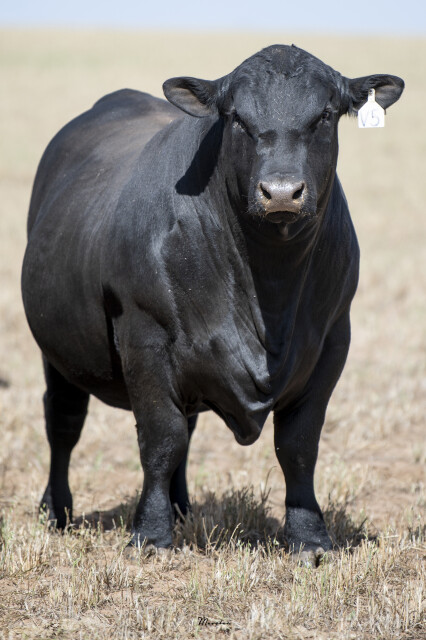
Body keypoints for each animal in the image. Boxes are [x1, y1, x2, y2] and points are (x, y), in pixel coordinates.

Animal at [21, 45, 404, 562]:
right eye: (237, 117)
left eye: (324, 115)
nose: (281, 192)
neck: (269, 291)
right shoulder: (143, 337)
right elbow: (160, 438)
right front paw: (151, 534)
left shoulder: (332, 341)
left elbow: (299, 445)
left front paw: (310, 539)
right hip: (57, 350)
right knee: (63, 422)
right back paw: (57, 510)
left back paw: (182, 508)